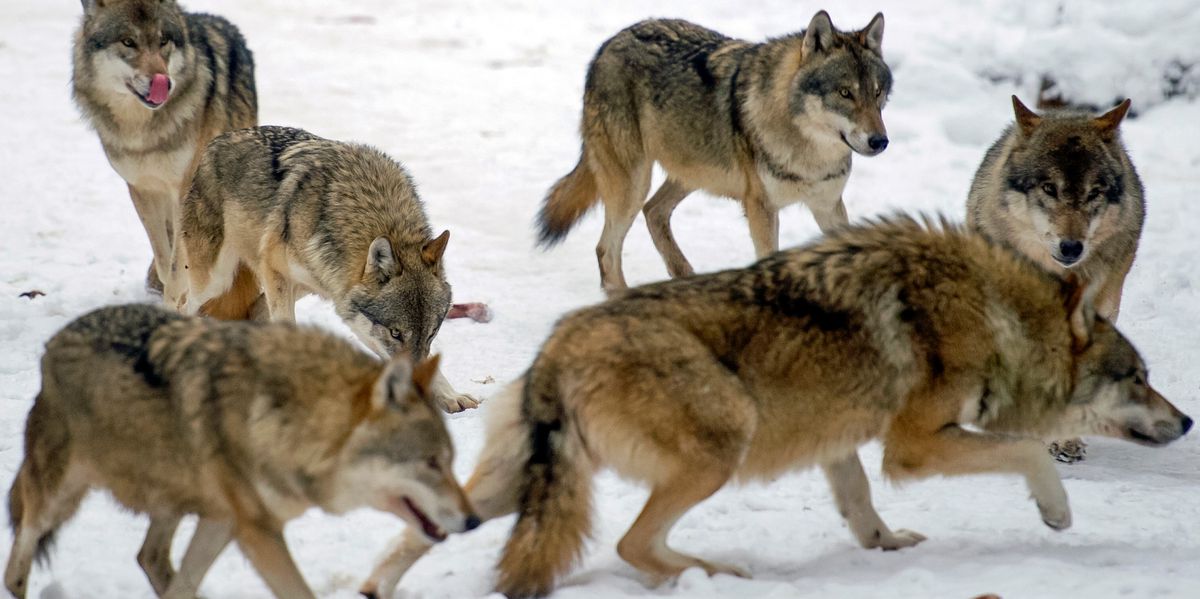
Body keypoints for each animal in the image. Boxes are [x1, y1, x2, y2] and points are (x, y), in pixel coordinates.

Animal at [4, 304, 480, 599]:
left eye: (451, 462)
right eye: (431, 463)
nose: (475, 520)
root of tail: (53, 342)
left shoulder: (227, 522)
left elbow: (183, 586)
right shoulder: (257, 532)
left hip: (176, 502)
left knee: (151, 559)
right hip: (58, 499)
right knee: (16, 564)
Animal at [73, 0, 261, 318]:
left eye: (163, 42)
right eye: (128, 42)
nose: (164, 82)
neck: (145, 134)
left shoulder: (184, 191)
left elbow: (177, 268)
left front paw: (176, 304)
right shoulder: (142, 189)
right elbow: (164, 261)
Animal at [164, 126, 478, 413]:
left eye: (432, 333)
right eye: (396, 333)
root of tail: (217, 141)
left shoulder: (342, 299)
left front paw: (450, 395)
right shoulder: (276, 272)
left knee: (254, 310)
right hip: (214, 280)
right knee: (184, 304)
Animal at [360, 216, 1191, 599]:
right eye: (1138, 376)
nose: (1186, 420)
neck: (993, 312)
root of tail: (560, 344)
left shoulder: (843, 441)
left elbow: (861, 509)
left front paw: (890, 548)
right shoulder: (915, 445)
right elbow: (1022, 450)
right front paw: (1056, 512)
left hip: (504, 491)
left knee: (405, 545)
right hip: (723, 445)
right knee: (632, 543)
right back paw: (718, 572)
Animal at [536, 11, 891, 291]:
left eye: (877, 93)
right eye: (844, 93)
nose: (880, 141)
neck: (810, 153)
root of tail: (608, 44)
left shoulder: (828, 205)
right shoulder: (761, 209)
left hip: (689, 173)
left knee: (654, 212)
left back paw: (684, 276)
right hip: (633, 185)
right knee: (606, 249)